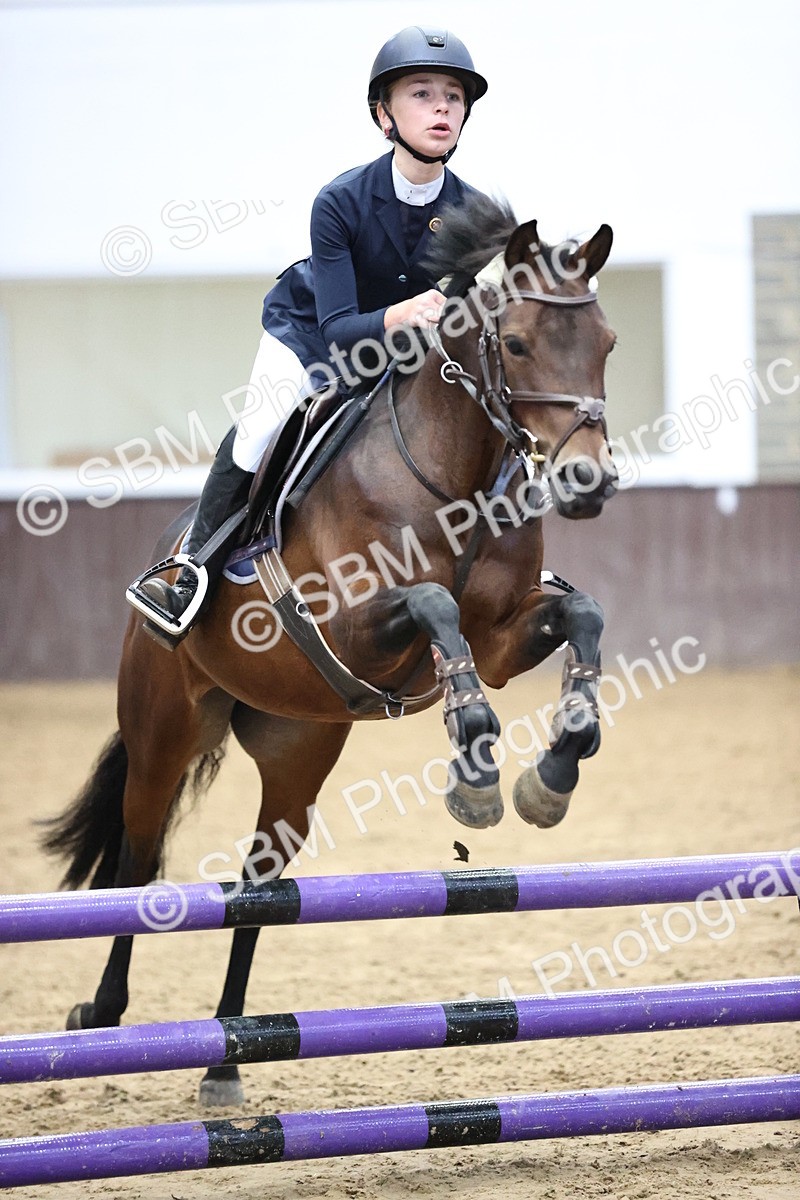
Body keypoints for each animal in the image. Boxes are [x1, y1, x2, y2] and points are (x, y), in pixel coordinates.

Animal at [42, 196, 619, 1107]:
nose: (587, 483)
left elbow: (583, 615)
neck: (455, 471)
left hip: (297, 745)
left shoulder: (500, 638)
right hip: (164, 725)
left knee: (259, 891)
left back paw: (226, 1061)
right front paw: (476, 767)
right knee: (136, 857)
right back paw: (101, 1013)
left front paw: (553, 770)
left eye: (607, 343)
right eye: (521, 343)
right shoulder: (357, 627)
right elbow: (433, 606)